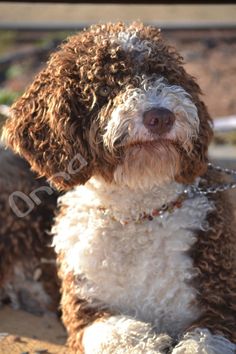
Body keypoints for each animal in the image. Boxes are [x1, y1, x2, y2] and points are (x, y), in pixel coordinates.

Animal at [2, 21, 236, 352]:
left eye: (164, 75)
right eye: (106, 87)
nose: (160, 116)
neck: (137, 212)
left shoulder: (221, 304)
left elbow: (203, 341)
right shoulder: (85, 312)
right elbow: (115, 333)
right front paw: (147, 342)